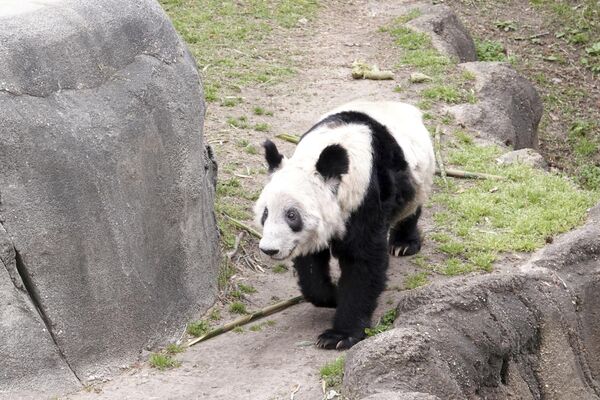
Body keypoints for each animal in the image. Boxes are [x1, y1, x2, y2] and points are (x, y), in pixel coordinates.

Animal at [252, 101, 432, 350]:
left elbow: (363, 262)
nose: (270, 249)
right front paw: (333, 296)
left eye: (291, 215)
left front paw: (339, 336)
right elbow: (311, 268)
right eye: (265, 213)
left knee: (411, 205)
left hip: (417, 175)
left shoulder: (364, 197)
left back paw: (403, 244)